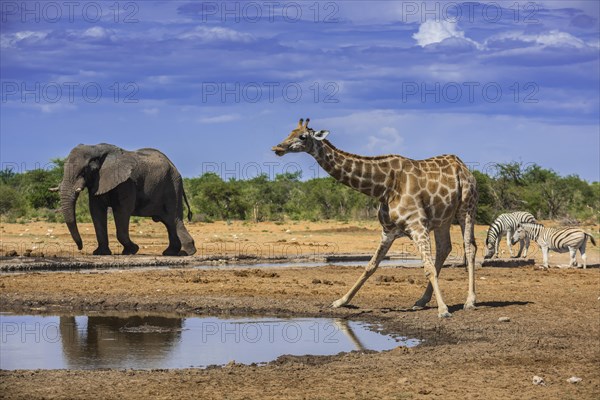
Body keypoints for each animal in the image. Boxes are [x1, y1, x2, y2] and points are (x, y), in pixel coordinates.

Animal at [54, 144, 196, 256]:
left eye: (84, 171)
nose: (80, 247)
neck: (97, 149)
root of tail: (174, 167)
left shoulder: (126, 182)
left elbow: (121, 211)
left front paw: (131, 250)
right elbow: (96, 211)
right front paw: (100, 253)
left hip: (172, 187)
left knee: (173, 220)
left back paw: (184, 253)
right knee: (168, 222)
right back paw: (172, 252)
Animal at [274, 117, 478, 318]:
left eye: (302, 136)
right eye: (289, 132)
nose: (277, 148)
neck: (383, 186)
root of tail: (464, 168)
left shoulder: (417, 225)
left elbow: (428, 268)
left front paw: (443, 310)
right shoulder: (388, 231)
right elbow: (370, 266)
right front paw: (341, 301)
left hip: (467, 208)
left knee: (469, 247)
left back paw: (470, 301)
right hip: (442, 220)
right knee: (445, 248)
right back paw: (421, 301)